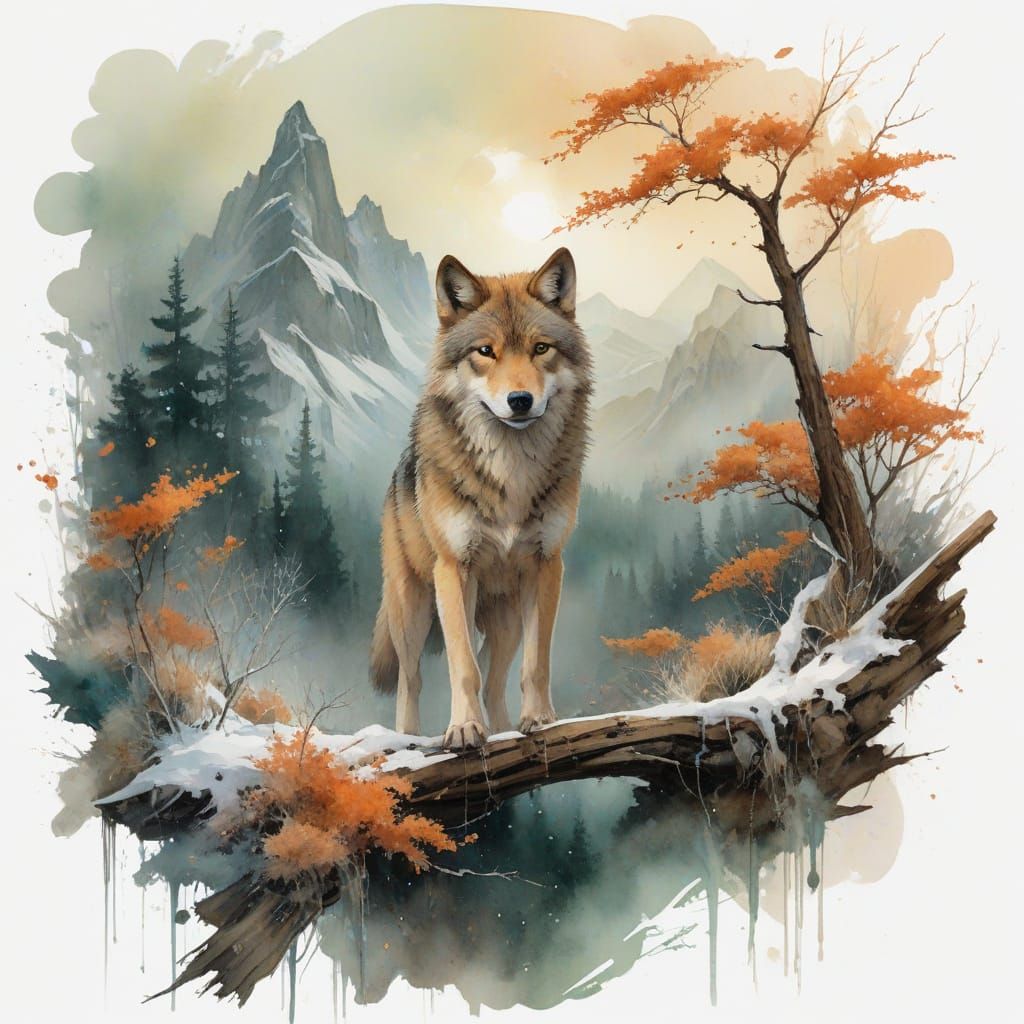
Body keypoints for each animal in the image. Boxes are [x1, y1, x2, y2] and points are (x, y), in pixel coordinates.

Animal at [369, 247, 592, 750]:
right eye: (485, 352)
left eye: (540, 349)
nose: (520, 400)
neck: (511, 471)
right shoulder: (454, 570)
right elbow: (462, 667)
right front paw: (464, 729)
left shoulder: (547, 565)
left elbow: (536, 663)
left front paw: (540, 720)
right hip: (412, 609)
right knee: (411, 680)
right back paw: (410, 738)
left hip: (506, 621)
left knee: (496, 680)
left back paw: (507, 729)